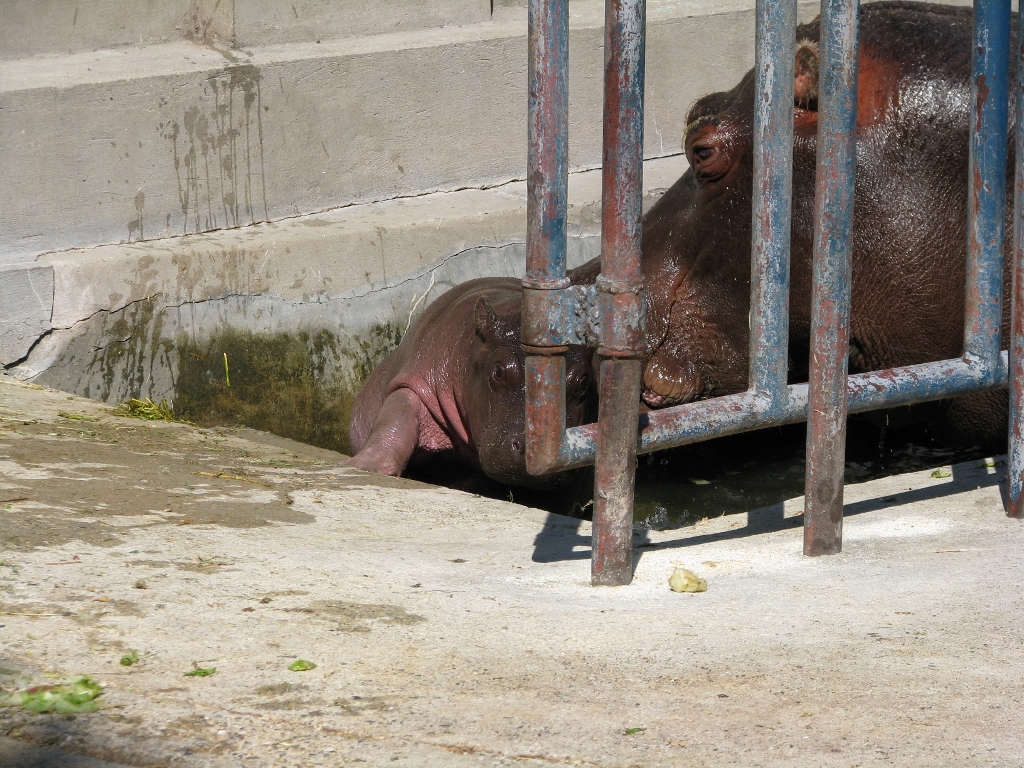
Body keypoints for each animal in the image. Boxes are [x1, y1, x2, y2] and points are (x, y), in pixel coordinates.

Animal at [347, 278, 593, 488]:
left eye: (583, 382)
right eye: (499, 371)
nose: (538, 452)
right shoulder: (417, 377)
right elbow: (395, 418)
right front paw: (363, 467)